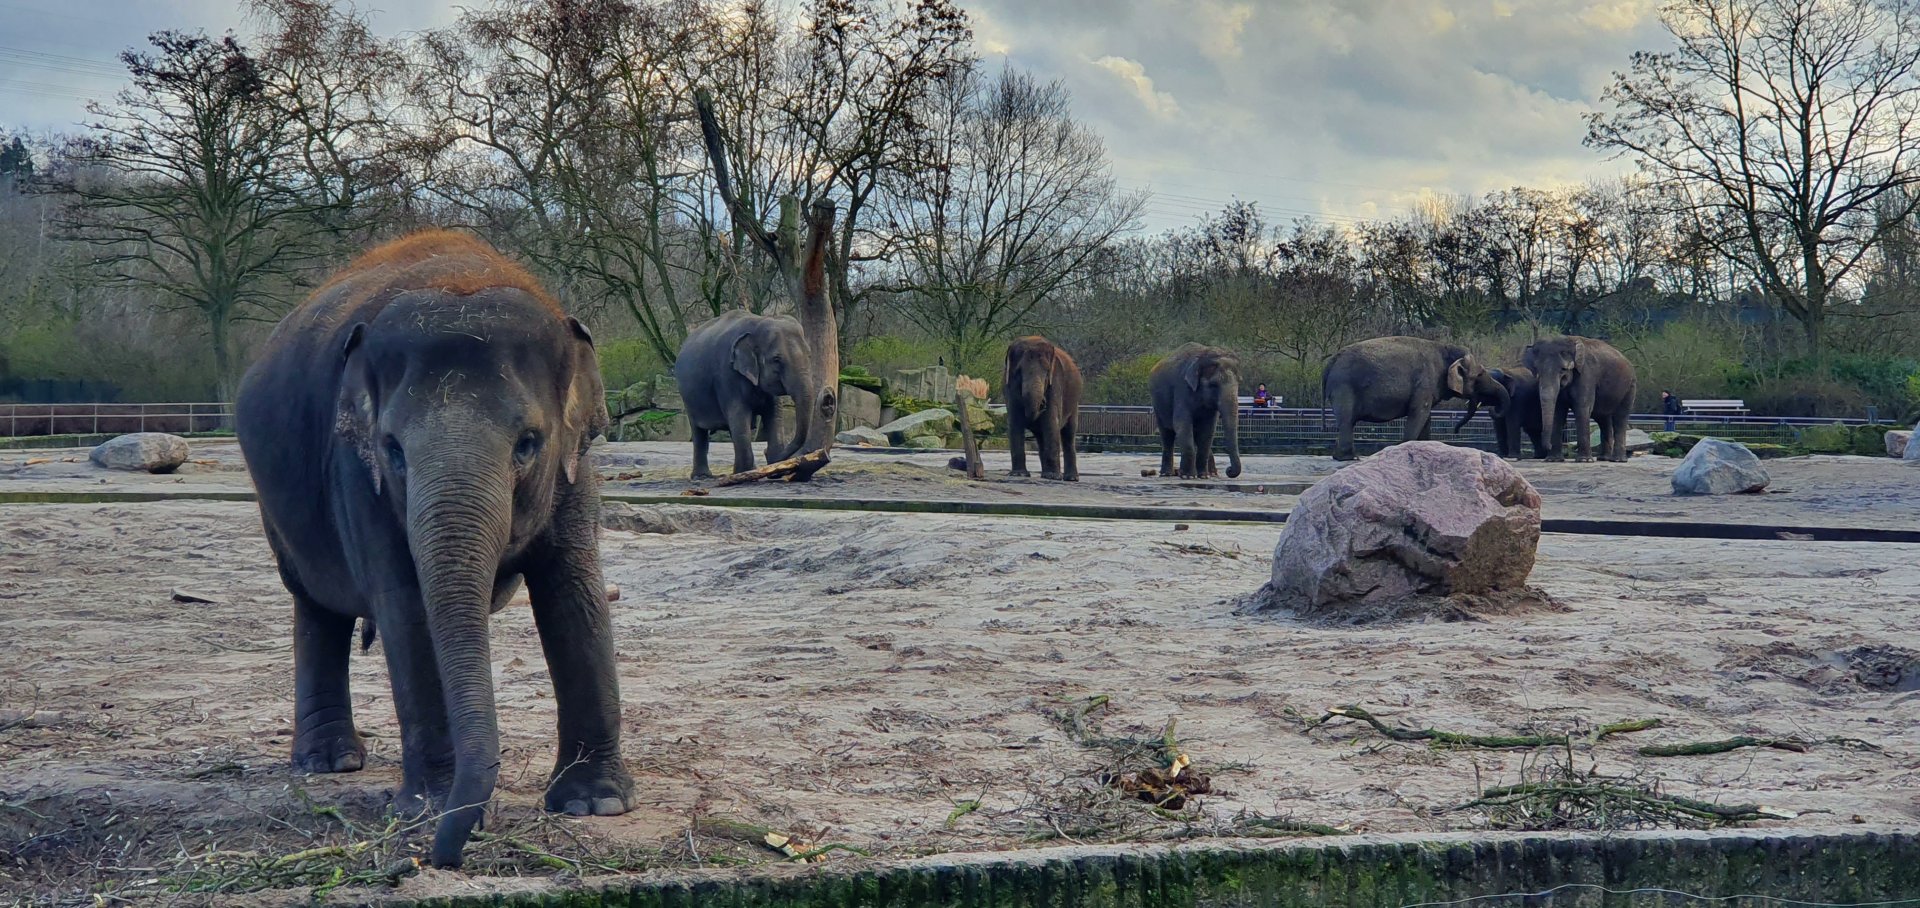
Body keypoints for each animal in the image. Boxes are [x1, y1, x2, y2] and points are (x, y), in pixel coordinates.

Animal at [234, 231, 633, 869]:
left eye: (528, 443)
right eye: (394, 449)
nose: (440, 859)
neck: (461, 279)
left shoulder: (576, 467)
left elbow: (573, 596)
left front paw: (594, 803)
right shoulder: (355, 471)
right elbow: (405, 606)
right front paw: (427, 809)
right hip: (281, 510)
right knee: (315, 605)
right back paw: (329, 763)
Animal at [674, 310, 819, 479]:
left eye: (809, 355)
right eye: (776, 359)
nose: (765, 452)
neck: (758, 322)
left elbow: (774, 415)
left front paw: (773, 472)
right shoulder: (727, 376)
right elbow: (739, 415)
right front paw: (745, 473)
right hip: (688, 398)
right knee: (699, 432)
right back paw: (702, 476)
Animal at [1003, 335, 1083, 481]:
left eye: (1047, 372)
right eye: (1019, 372)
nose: (1042, 403)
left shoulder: (1056, 381)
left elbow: (1051, 422)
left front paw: (1053, 476)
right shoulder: (1008, 386)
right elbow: (1015, 422)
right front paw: (1019, 474)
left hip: (1074, 403)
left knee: (1069, 434)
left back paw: (1070, 478)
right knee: (1041, 437)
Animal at [1149, 343, 1242, 479]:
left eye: (1239, 384)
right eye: (1213, 385)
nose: (1228, 470)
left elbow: (1208, 430)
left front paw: (1203, 476)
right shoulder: (1182, 389)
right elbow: (1182, 424)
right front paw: (1188, 476)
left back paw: (1211, 474)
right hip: (1158, 405)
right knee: (1167, 435)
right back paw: (1166, 474)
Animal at [1321, 336, 1502, 461]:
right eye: (1480, 374)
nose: (1455, 432)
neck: (1446, 348)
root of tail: (1330, 362)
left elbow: (1426, 417)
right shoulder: (1425, 382)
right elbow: (1418, 413)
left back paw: (1340, 456)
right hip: (1344, 387)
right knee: (1347, 420)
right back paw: (1350, 458)